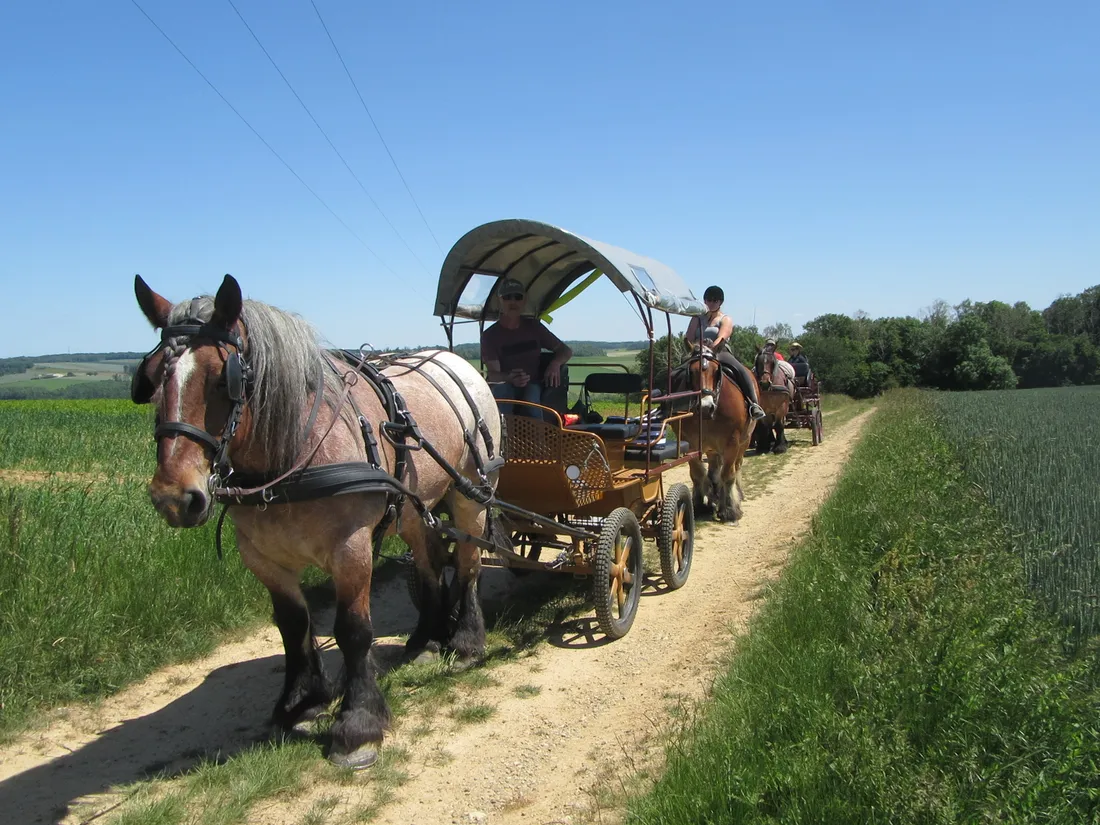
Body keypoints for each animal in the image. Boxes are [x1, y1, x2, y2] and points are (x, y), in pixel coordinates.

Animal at [131, 274, 503, 769]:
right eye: (152, 379)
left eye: (223, 380)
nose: (174, 497)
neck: (292, 456)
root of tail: (456, 361)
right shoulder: (263, 558)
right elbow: (292, 627)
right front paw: (301, 703)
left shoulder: (351, 548)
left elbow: (353, 630)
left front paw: (358, 724)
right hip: (412, 505)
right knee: (428, 560)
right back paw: (426, 639)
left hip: (469, 494)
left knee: (467, 563)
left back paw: (465, 640)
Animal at [682, 345, 758, 522]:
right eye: (692, 371)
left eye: (716, 370)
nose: (705, 406)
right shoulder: (690, 444)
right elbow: (697, 474)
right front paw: (699, 504)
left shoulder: (732, 442)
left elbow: (728, 474)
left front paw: (730, 509)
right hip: (712, 448)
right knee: (713, 472)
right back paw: (714, 495)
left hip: (744, 441)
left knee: (736, 466)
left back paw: (736, 495)